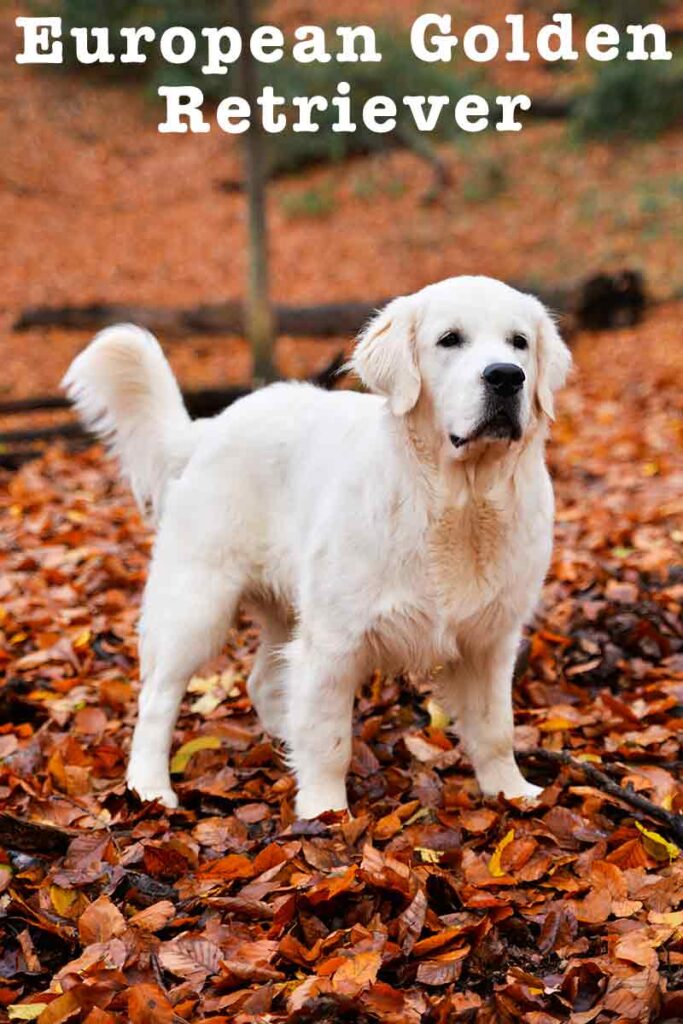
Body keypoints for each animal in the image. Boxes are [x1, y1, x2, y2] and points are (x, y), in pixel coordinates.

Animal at [63, 276, 573, 819]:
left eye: (519, 342)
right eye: (450, 339)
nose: (507, 377)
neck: (459, 503)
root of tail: (210, 427)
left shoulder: (490, 641)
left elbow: (496, 729)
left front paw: (513, 793)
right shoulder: (335, 640)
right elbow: (330, 740)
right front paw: (325, 812)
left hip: (284, 609)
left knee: (264, 684)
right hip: (196, 603)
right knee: (157, 698)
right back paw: (150, 789)